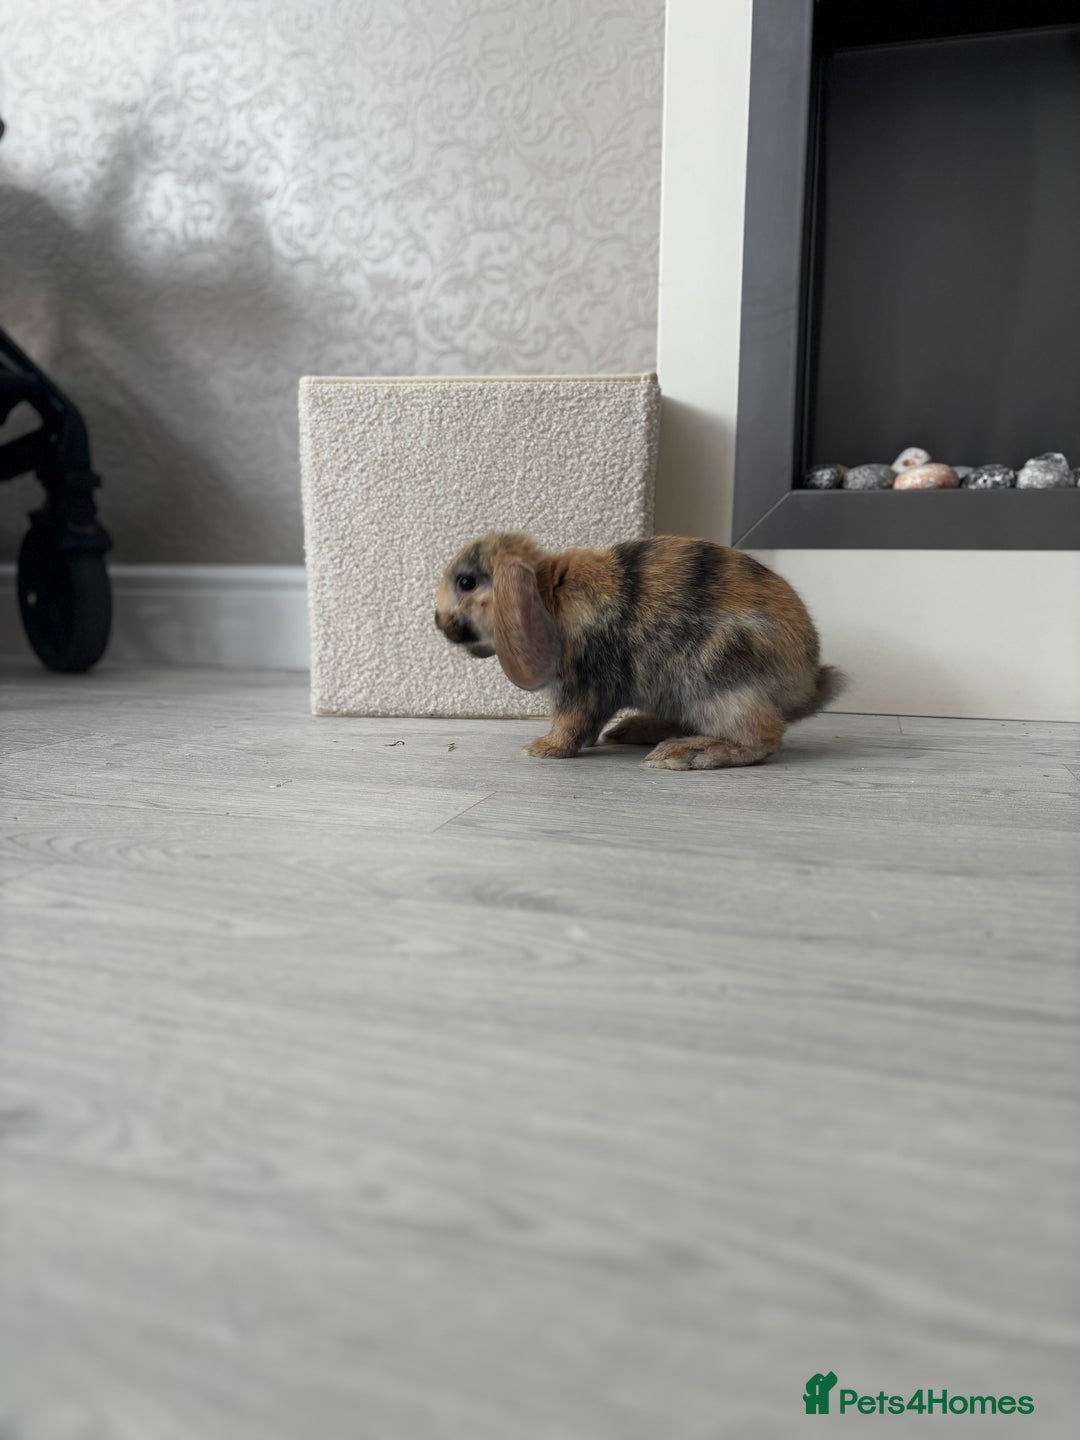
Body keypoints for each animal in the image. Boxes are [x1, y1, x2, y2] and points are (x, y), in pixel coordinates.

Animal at [434, 532, 846, 769]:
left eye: (466, 582)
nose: (438, 622)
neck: (548, 594)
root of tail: (806, 685)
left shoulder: (584, 684)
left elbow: (571, 722)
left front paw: (542, 749)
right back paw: (633, 731)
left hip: (718, 678)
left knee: (763, 736)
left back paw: (683, 754)